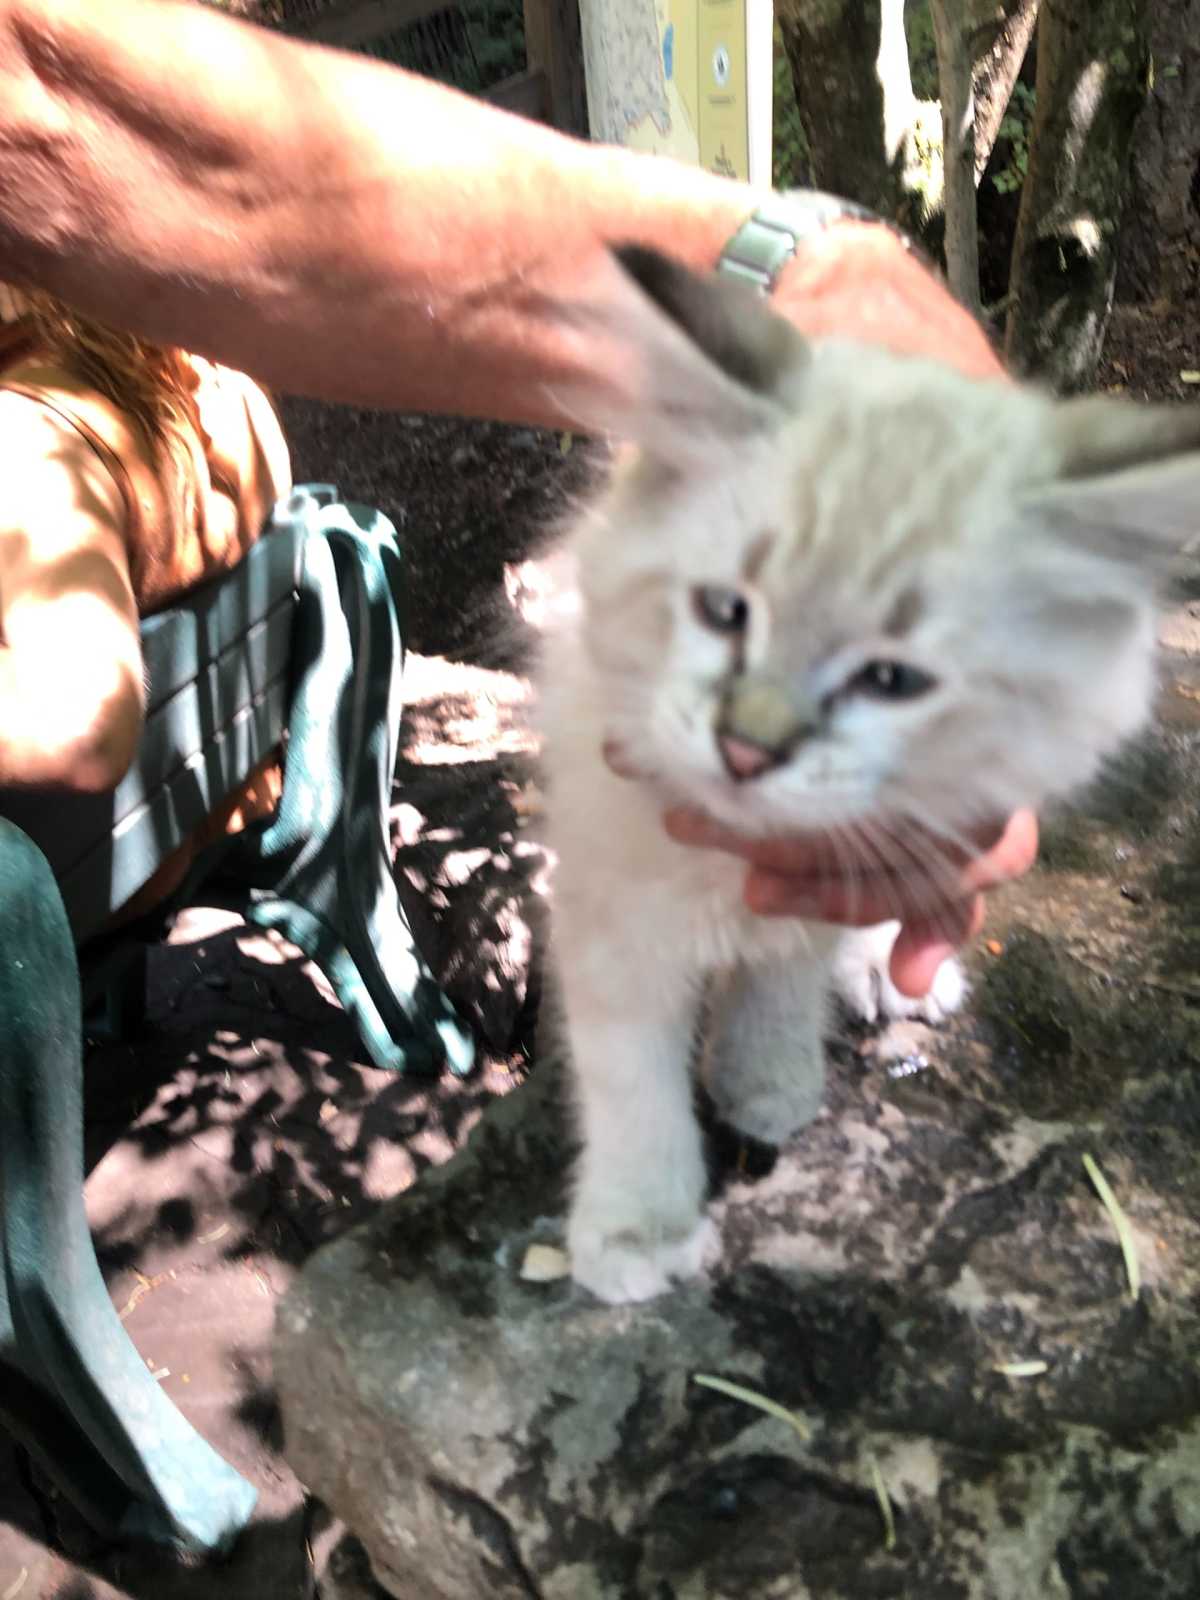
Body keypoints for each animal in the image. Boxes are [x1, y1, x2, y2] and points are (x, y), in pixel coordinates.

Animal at [536, 245, 1200, 1305]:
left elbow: (784, 965)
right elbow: (632, 1077)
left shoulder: (840, 853)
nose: (746, 749)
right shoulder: (611, 892)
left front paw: (765, 1079)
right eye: (726, 612)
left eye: (891, 681)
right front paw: (639, 1223)